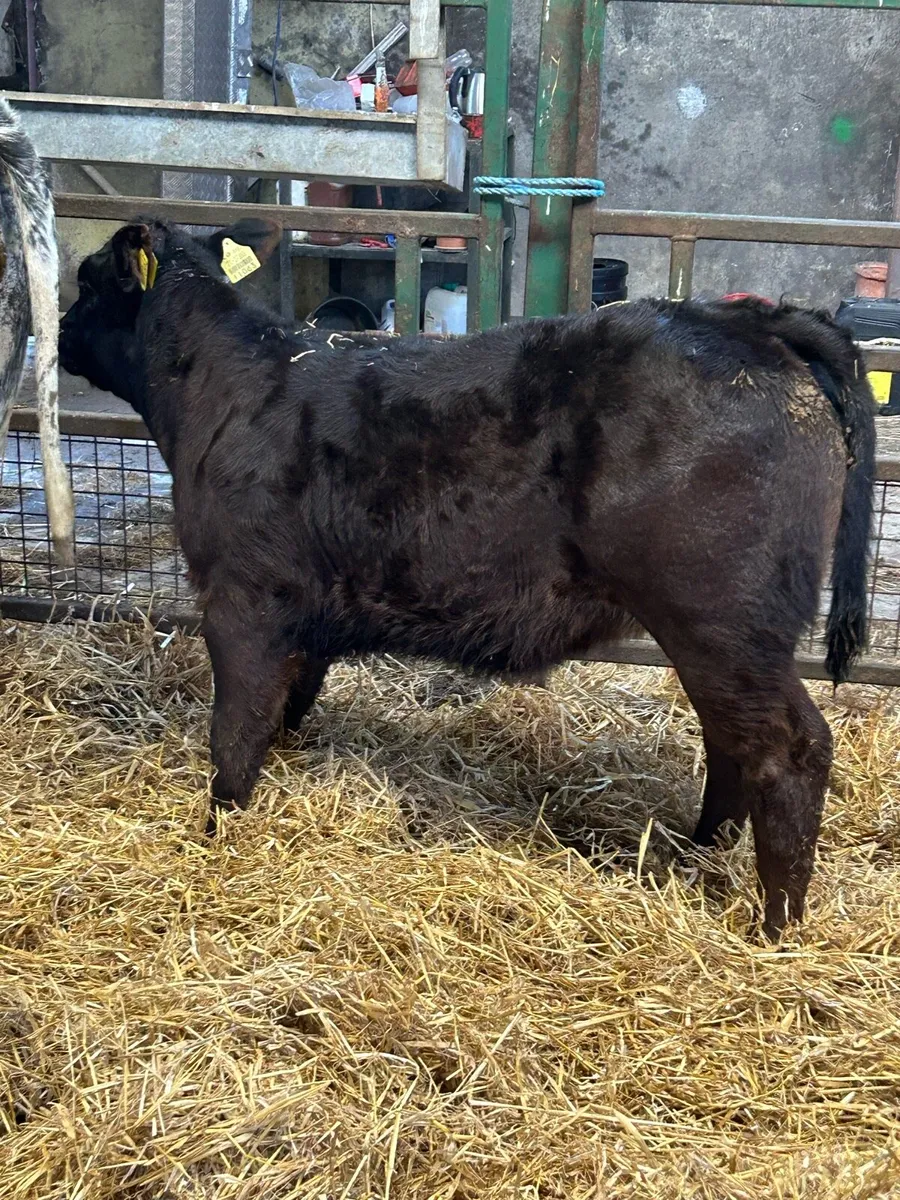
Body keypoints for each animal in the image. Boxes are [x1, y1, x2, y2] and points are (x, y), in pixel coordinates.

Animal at [58, 215, 875, 939]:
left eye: (87, 280)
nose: (60, 333)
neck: (228, 390)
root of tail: (752, 323)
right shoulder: (301, 611)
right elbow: (287, 706)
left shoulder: (241, 597)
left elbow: (233, 732)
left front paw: (216, 829)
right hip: (721, 636)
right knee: (730, 739)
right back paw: (698, 849)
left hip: (722, 620)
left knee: (789, 749)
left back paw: (774, 924)